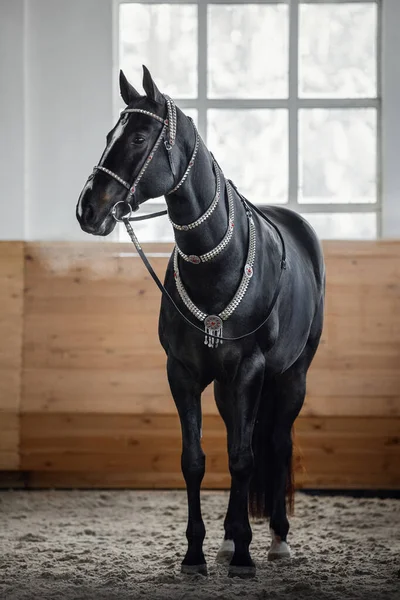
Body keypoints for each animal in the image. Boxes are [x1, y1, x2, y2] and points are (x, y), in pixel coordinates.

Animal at [76, 68, 324, 580]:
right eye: (110, 135)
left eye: (138, 136)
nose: (88, 209)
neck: (215, 265)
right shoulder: (184, 373)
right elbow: (196, 460)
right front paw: (197, 554)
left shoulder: (250, 371)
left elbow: (245, 459)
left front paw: (246, 556)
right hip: (230, 389)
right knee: (239, 438)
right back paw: (229, 540)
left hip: (292, 376)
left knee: (277, 443)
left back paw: (276, 541)